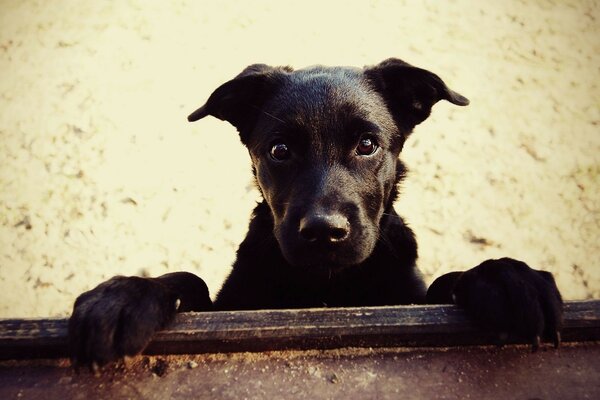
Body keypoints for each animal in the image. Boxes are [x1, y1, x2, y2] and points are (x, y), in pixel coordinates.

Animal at [68, 58, 564, 368]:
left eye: (367, 144)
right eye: (280, 150)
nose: (325, 232)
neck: (325, 285)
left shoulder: (409, 294)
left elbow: (446, 281)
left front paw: (505, 276)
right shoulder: (232, 305)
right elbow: (189, 280)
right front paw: (124, 296)